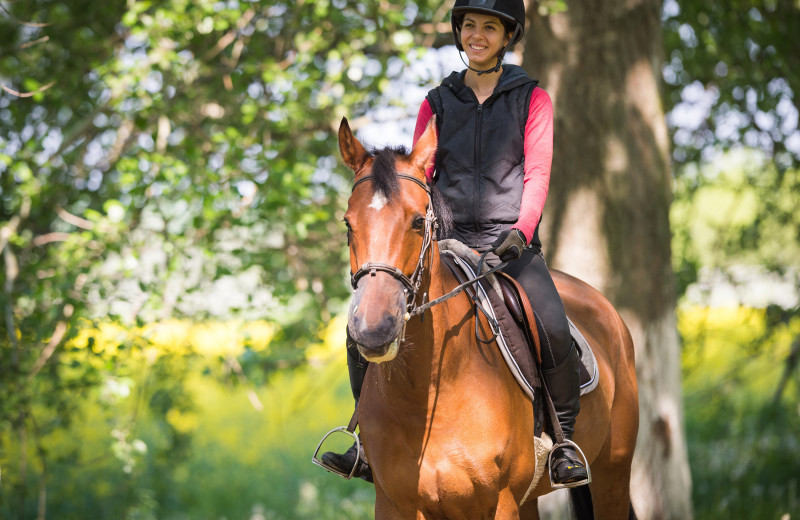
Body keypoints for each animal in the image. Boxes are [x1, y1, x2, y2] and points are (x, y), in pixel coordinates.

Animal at [336, 118, 636, 520]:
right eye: (348, 224)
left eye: (418, 221)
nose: (373, 329)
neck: (430, 392)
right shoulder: (393, 505)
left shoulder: (500, 502)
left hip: (612, 473)